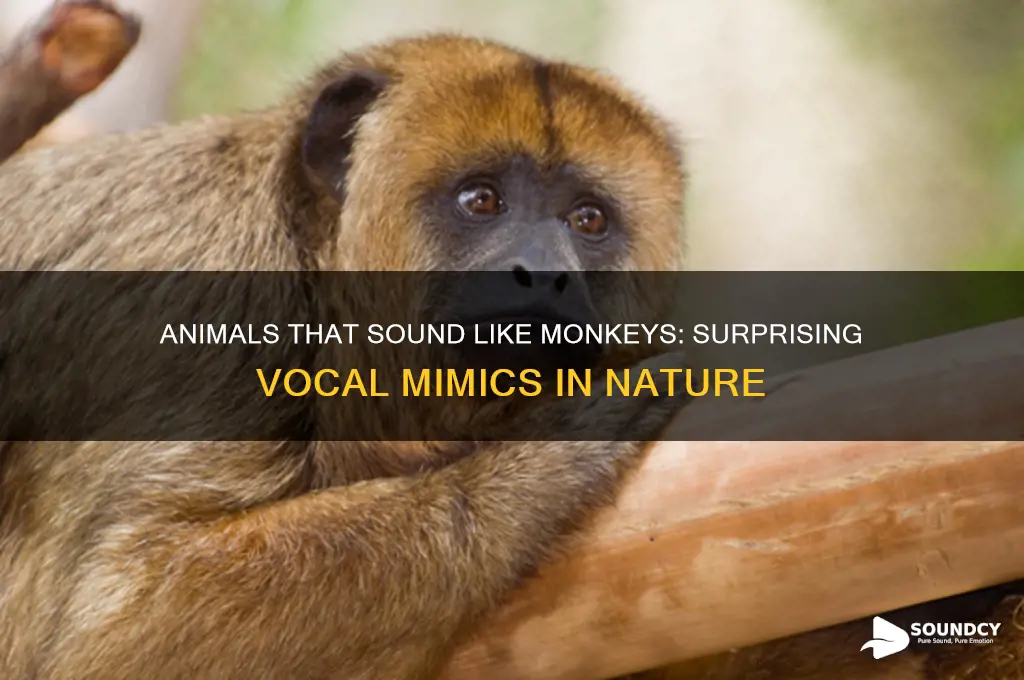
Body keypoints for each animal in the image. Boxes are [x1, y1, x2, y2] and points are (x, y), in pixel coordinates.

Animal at [0, 34, 692, 680]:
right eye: (482, 201)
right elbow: (116, 635)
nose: (546, 275)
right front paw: (554, 449)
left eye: (588, 220)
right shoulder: (204, 296)